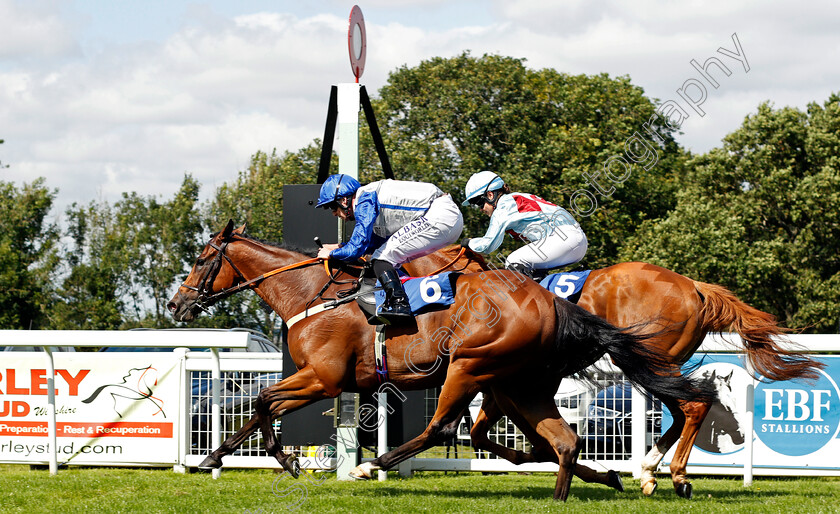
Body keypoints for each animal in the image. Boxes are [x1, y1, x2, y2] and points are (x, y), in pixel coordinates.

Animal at [166, 221, 716, 500]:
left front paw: (283, 460)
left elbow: (261, 400)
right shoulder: (320, 380)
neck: (311, 294)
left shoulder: (323, 378)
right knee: (563, 439)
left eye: (200, 260)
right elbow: (259, 406)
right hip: (520, 383)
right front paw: (215, 458)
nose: (175, 305)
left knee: (443, 427)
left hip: (470, 366)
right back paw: (606, 482)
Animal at [404, 244, 824, 496]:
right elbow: (487, 434)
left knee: (693, 406)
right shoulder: (504, 385)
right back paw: (650, 471)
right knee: (681, 411)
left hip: (650, 358)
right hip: (658, 362)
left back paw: (677, 475)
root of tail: (694, 286)